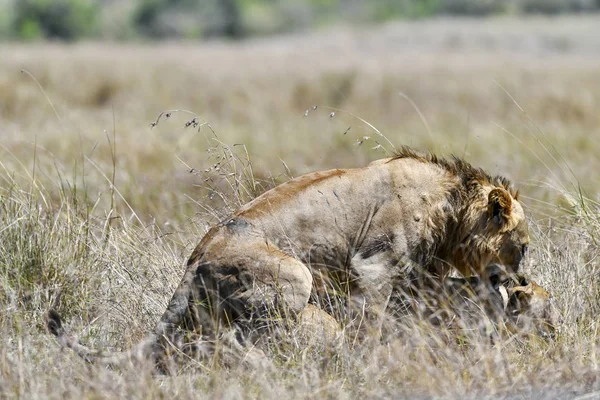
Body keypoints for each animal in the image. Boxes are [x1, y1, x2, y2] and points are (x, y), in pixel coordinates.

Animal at [49, 148, 532, 372]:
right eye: (523, 246)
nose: (521, 278)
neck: (451, 207)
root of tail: (196, 258)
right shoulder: (374, 266)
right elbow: (374, 323)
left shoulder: (420, 276)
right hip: (295, 275)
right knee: (238, 340)